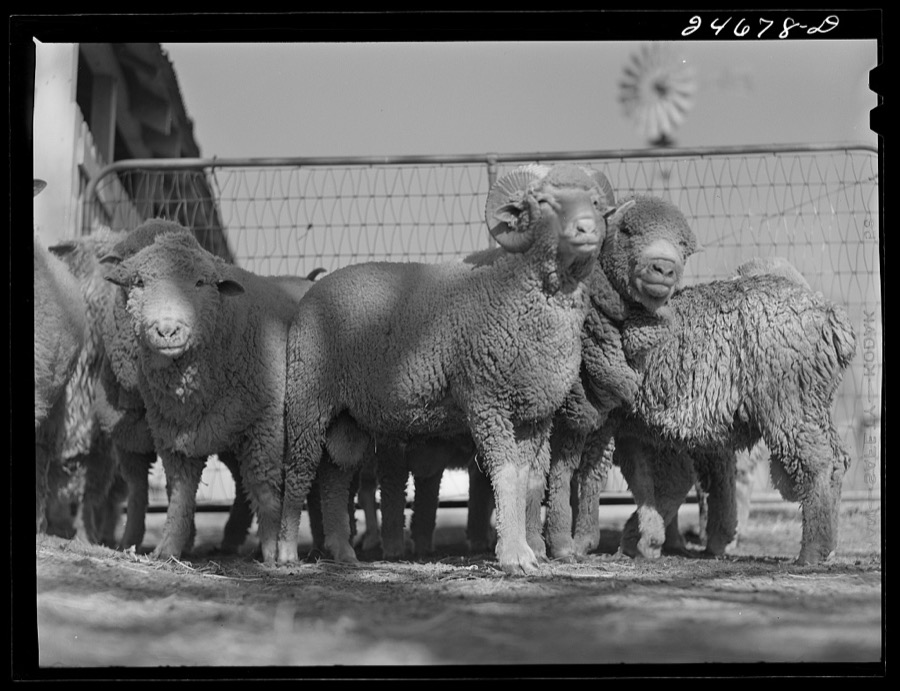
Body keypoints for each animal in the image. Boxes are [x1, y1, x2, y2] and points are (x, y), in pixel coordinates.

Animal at [101, 228, 320, 563]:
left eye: (200, 282)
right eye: (138, 282)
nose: (167, 330)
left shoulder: (265, 426)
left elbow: (264, 489)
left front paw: (271, 549)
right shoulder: (174, 439)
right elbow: (179, 496)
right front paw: (168, 549)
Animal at [277, 163, 626, 575]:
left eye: (596, 203)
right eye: (543, 202)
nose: (586, 229)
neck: (514, 289)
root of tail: (314, 290)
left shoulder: (535, 414)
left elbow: (525, 477)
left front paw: (522, 548)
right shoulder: (486, 400)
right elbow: (506, 473)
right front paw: (514, 556)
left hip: (348, 420)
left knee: (334, 477)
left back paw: (343, 552)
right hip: (308, 399)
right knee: (299, 470)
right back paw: (284, 552)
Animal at [567, 204, 857, 565]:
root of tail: (830, 316)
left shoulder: (604, 417)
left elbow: (590, 475)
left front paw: (584, 541)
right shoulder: (635, 427)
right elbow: (648, 480)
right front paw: (642, 539)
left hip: (789, 401)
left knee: (817, 462)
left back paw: (812, 551)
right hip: (814, 402)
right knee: (838, 459)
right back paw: (826, 546)